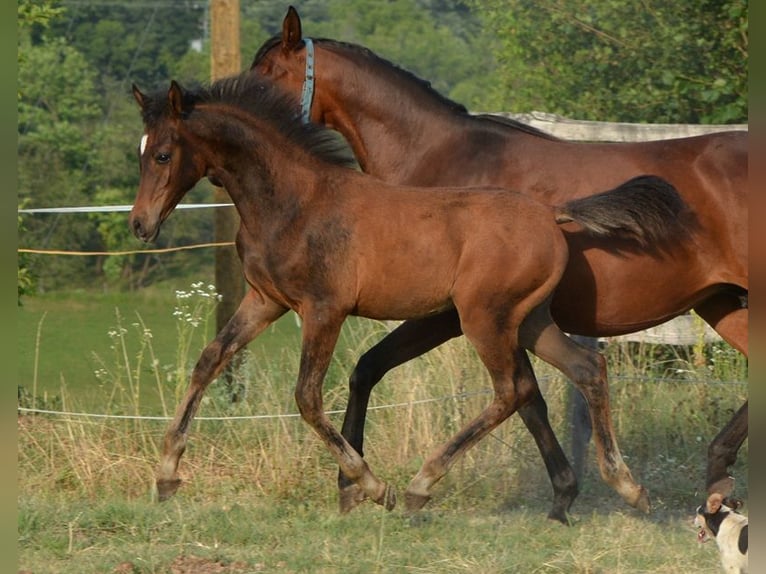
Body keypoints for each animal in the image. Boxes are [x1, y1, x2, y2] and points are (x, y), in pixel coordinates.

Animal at [129, 73, 689, 521]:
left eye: (163, 154)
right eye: (140, 152)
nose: (139, 224)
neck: (295, 202)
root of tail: (552, 214)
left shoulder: (324, 310)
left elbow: (307, 397)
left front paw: (373, 487)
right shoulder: (264, 300)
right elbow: (209, 360)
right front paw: (166, 475)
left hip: (482, 318)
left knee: (511, 391)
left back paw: (421, 485)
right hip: (527, 319)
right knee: (583, 369)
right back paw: (627, 487)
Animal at [250, 6, 748, 514]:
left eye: (264, 77)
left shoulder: (451, 316)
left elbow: (498, 390)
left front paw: (366, 485)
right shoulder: (506, 319)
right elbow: (526, 399)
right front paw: (563, 494)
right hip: (721, 302)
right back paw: (716, 473)